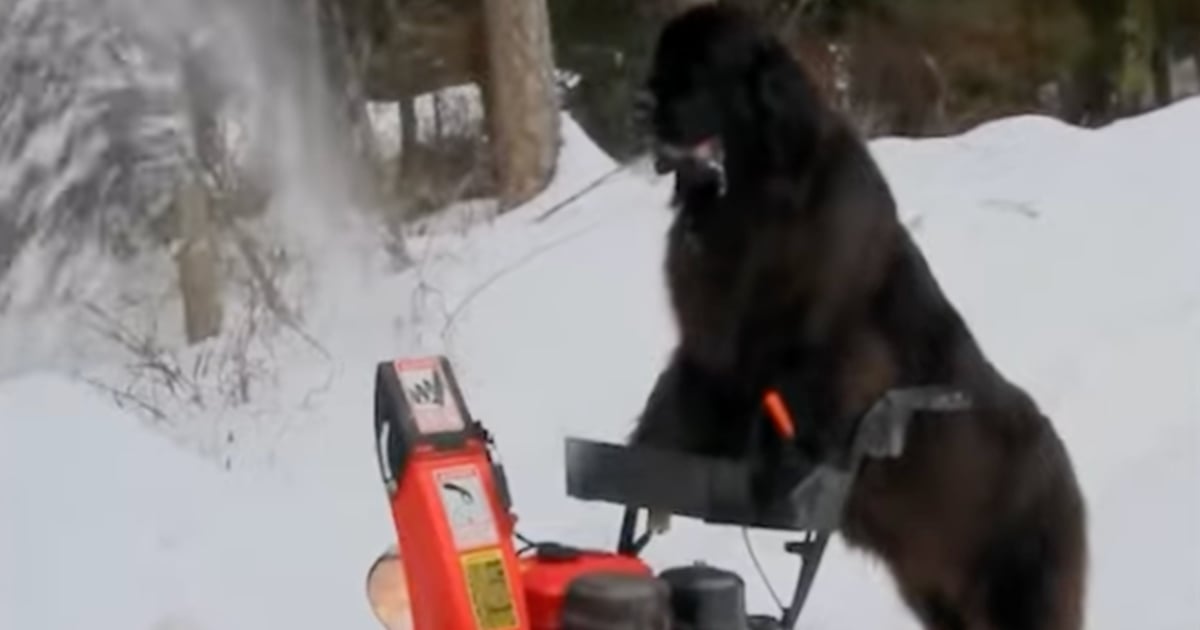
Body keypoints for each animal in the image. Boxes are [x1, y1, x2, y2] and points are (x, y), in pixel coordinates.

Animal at [628, 4, 1089, 628]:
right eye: (660, 64)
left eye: (696, 72)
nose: (640, 104)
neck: (748, 205)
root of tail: (1067, 472)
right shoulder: (709, 344)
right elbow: (678, 400)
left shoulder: (830, 340)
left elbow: (804, 390)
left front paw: (781, 464)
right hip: (938, 598)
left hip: (1022, 592)